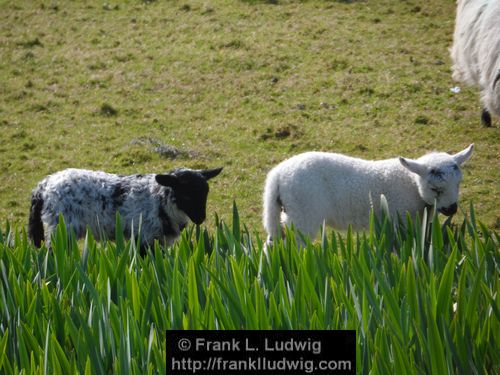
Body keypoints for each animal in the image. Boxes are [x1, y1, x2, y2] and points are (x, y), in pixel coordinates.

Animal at [27, 169, 223, 254]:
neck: (159, 199)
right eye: (186, 195)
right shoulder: (144, 239)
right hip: (60, 229)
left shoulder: (160, 241)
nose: (201, 218)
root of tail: (42, 187)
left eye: (206, 193)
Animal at [262, 145, 472, 245]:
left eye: (458, 183)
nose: (452, 209)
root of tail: (278, 175)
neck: (411, 183)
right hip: (303, 213)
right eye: (435, 189)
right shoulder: (399, 222)